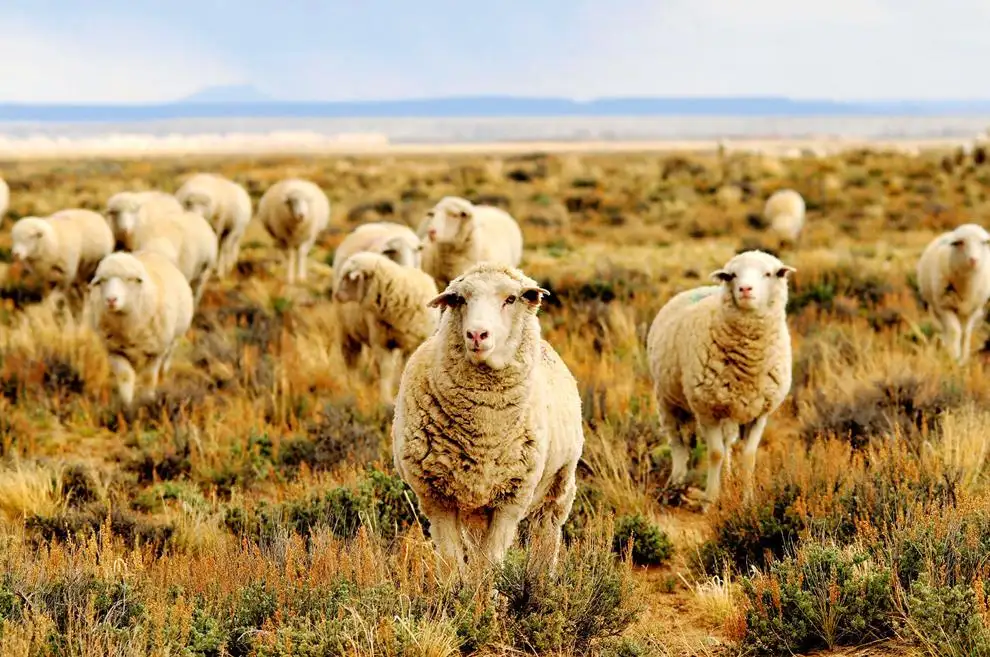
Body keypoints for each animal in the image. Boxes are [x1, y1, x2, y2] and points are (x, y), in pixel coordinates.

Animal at [88, 250, 194, 407]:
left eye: (129, 279)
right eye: (102, 281)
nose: (111, 300)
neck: (128, 328)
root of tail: (151, 252)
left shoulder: (155, 352)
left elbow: (148, 378)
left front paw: (147, 400)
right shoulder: (114, 351)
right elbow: (125, 376)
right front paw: (126, 404)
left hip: (173, 342)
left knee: (164, 367)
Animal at [333, 252, 439, 404]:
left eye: (348, 278)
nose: (336, 295)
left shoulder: (413, 343)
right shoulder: (382, 343)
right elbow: (386, 370)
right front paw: (385, 399)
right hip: (348, 333)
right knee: (352, 361)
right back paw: (353, 387)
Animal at [392, 262, 583, 576]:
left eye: (511, 299)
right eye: (460, 299)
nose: (477, 334)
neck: (483, 430)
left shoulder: (511, 500)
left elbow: (490, 564)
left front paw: (488, 590)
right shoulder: (437, 499)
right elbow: (452, 563)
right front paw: (457, 590)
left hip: (559, 487)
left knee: (546, 534)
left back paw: (541, 579)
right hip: (475, 509)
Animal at [646, 250, 795, 506]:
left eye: (768, 273)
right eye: (731, 275)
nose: (745, 289)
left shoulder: (759, 413)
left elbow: (748, 456)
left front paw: (747, 499)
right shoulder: (708, 410)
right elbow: (714, 453)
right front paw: (710, 500)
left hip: (728, 410)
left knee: (726, 445)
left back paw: (727, 477)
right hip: (667, 400)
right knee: (678, 444)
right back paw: (675, 484)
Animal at [916, 223, 990, 364]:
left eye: (983, 242)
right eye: (960, 243)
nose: (973, 260)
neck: (967, 285)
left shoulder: (973, 309)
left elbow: (966, 333)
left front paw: (963, 359)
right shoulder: (944, 306)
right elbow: (955, 332)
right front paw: (954, 357)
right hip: (936, 307)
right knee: (946, 330)